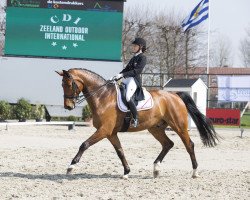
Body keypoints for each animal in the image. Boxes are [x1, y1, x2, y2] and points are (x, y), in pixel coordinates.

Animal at [56, 68, 219, 179]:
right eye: (62, 84)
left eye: (70, 84)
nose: (68, 106)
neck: (102, 97)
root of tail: (174, 95)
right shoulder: (111, 133)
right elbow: (120, 151)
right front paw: (126, 172)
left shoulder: (104, 130)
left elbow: (84, 144)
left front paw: (71, 166)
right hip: (155, 128)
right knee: (168, 144)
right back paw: (156, 168)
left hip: (179, 126)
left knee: (189, 145)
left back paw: (195, 172)